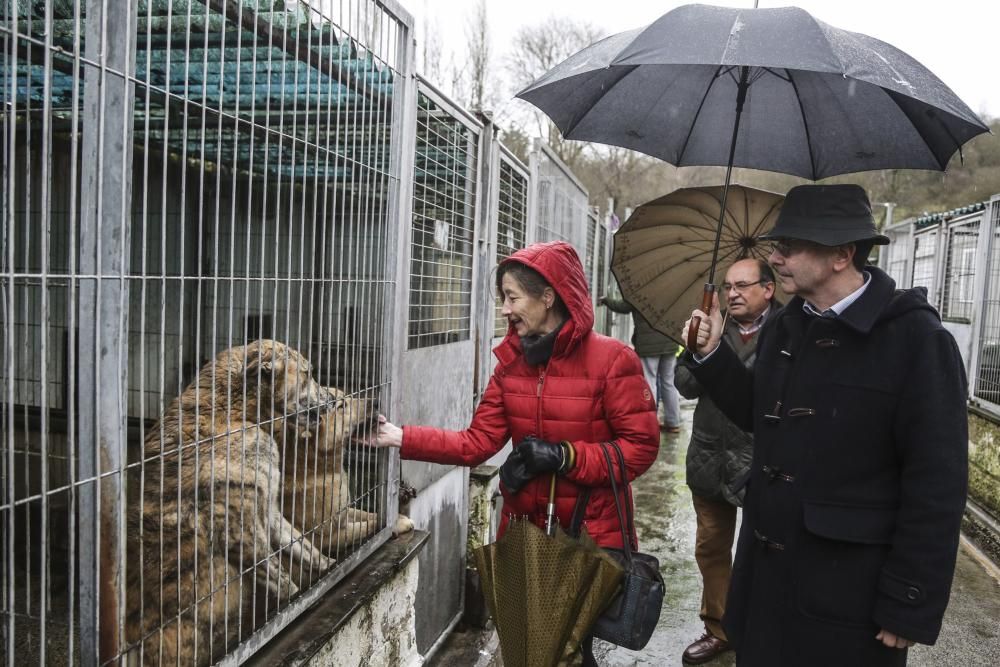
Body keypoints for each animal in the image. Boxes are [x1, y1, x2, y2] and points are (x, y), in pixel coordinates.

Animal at [125, 342, 332, 667]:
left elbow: (307, 549)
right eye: (308, 373)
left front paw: (331, 567)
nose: (334, 399)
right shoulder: (243, 534)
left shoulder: (270, 514)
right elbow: (283, 580)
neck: (231, 412)